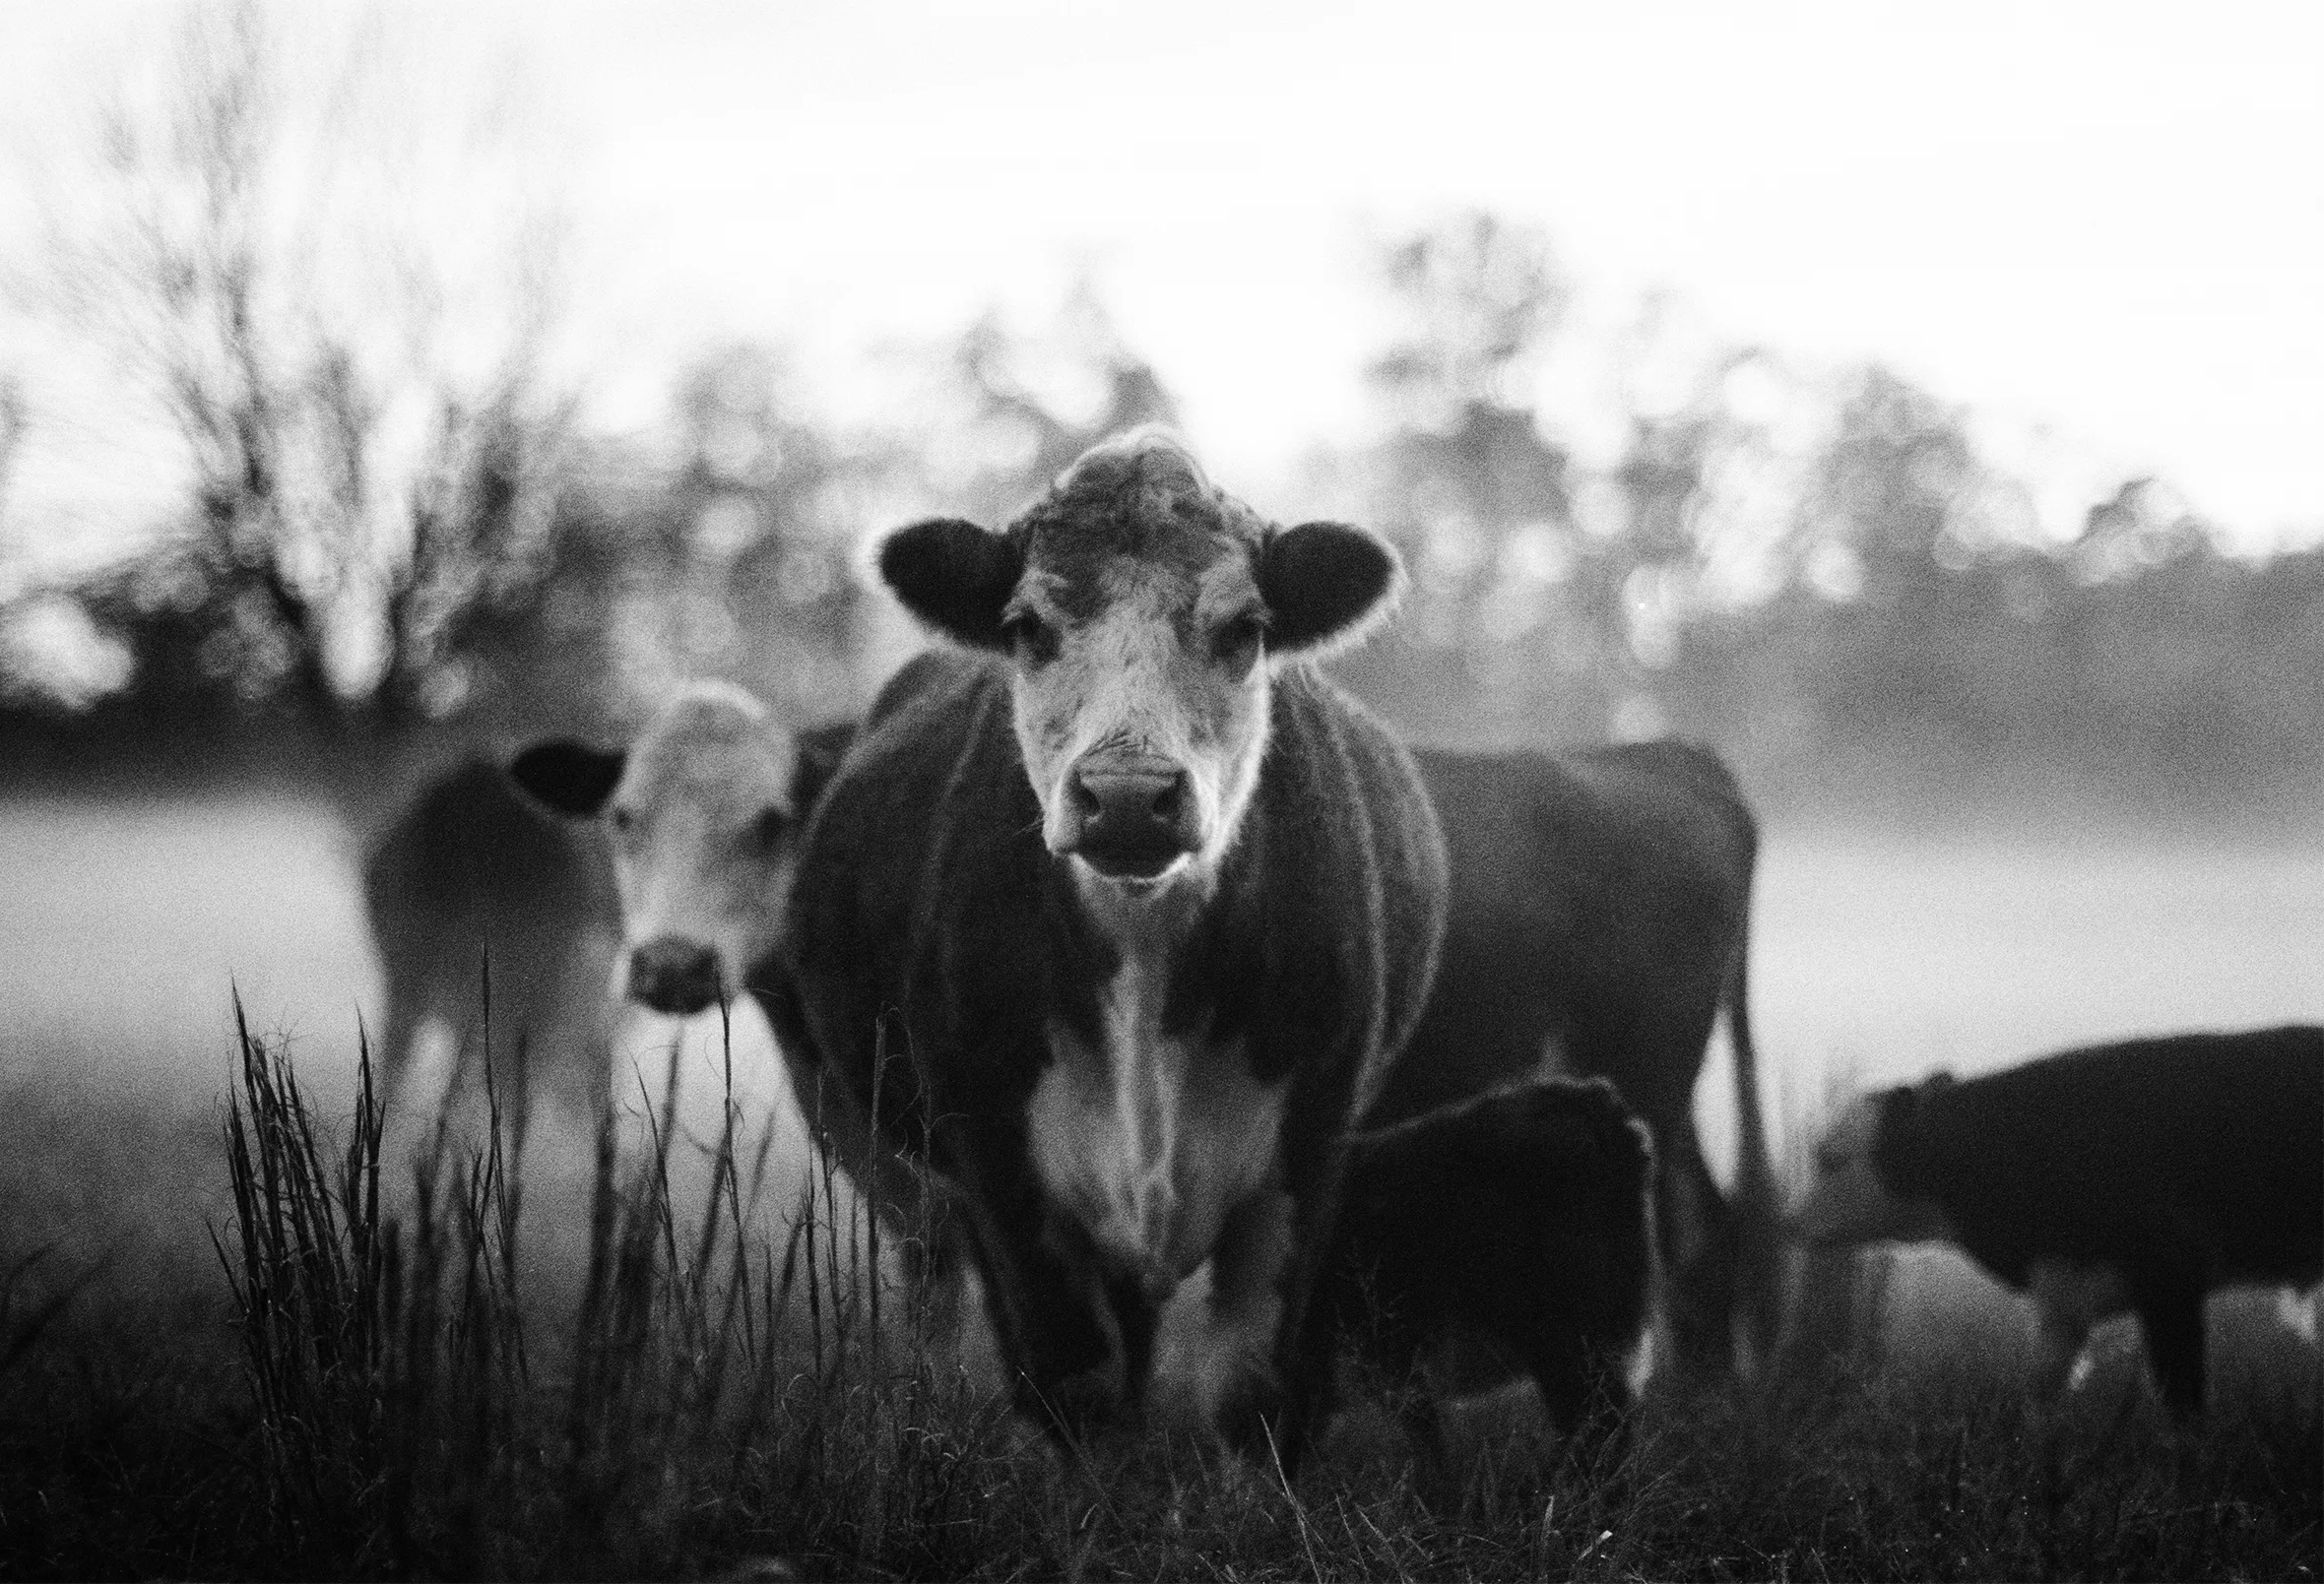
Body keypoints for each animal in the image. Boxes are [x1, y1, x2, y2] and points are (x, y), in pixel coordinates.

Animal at [763, 429, 1450, 1465]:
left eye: (1244, 628)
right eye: (1026, 626)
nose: (1128, 795)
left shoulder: (1310, 1154)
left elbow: (1252, 1393)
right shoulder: (995, 1161)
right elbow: (1075, 1383)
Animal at [1790, 1025, 2324, 1417]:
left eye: (1831, 1159)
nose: (1791, 1221)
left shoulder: (2170, 1275)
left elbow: (2183, 1402)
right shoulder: (2064, 1295)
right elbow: (2040, 1397)